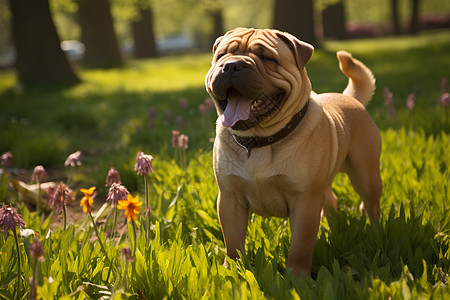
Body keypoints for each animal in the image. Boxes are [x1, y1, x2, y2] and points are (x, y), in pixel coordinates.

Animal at [206, 28, 382, 276]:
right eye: (222, 55)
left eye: (267, 58)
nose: (231, 66)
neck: (259, 141)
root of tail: (348, 97)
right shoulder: (230, 198)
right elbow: (232, 242)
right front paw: (231, 271)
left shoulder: (305, 199)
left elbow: (300, 245)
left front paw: (297, 278)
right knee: (331, 199)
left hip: (366, 176)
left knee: (371, 206)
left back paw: (375, 233)